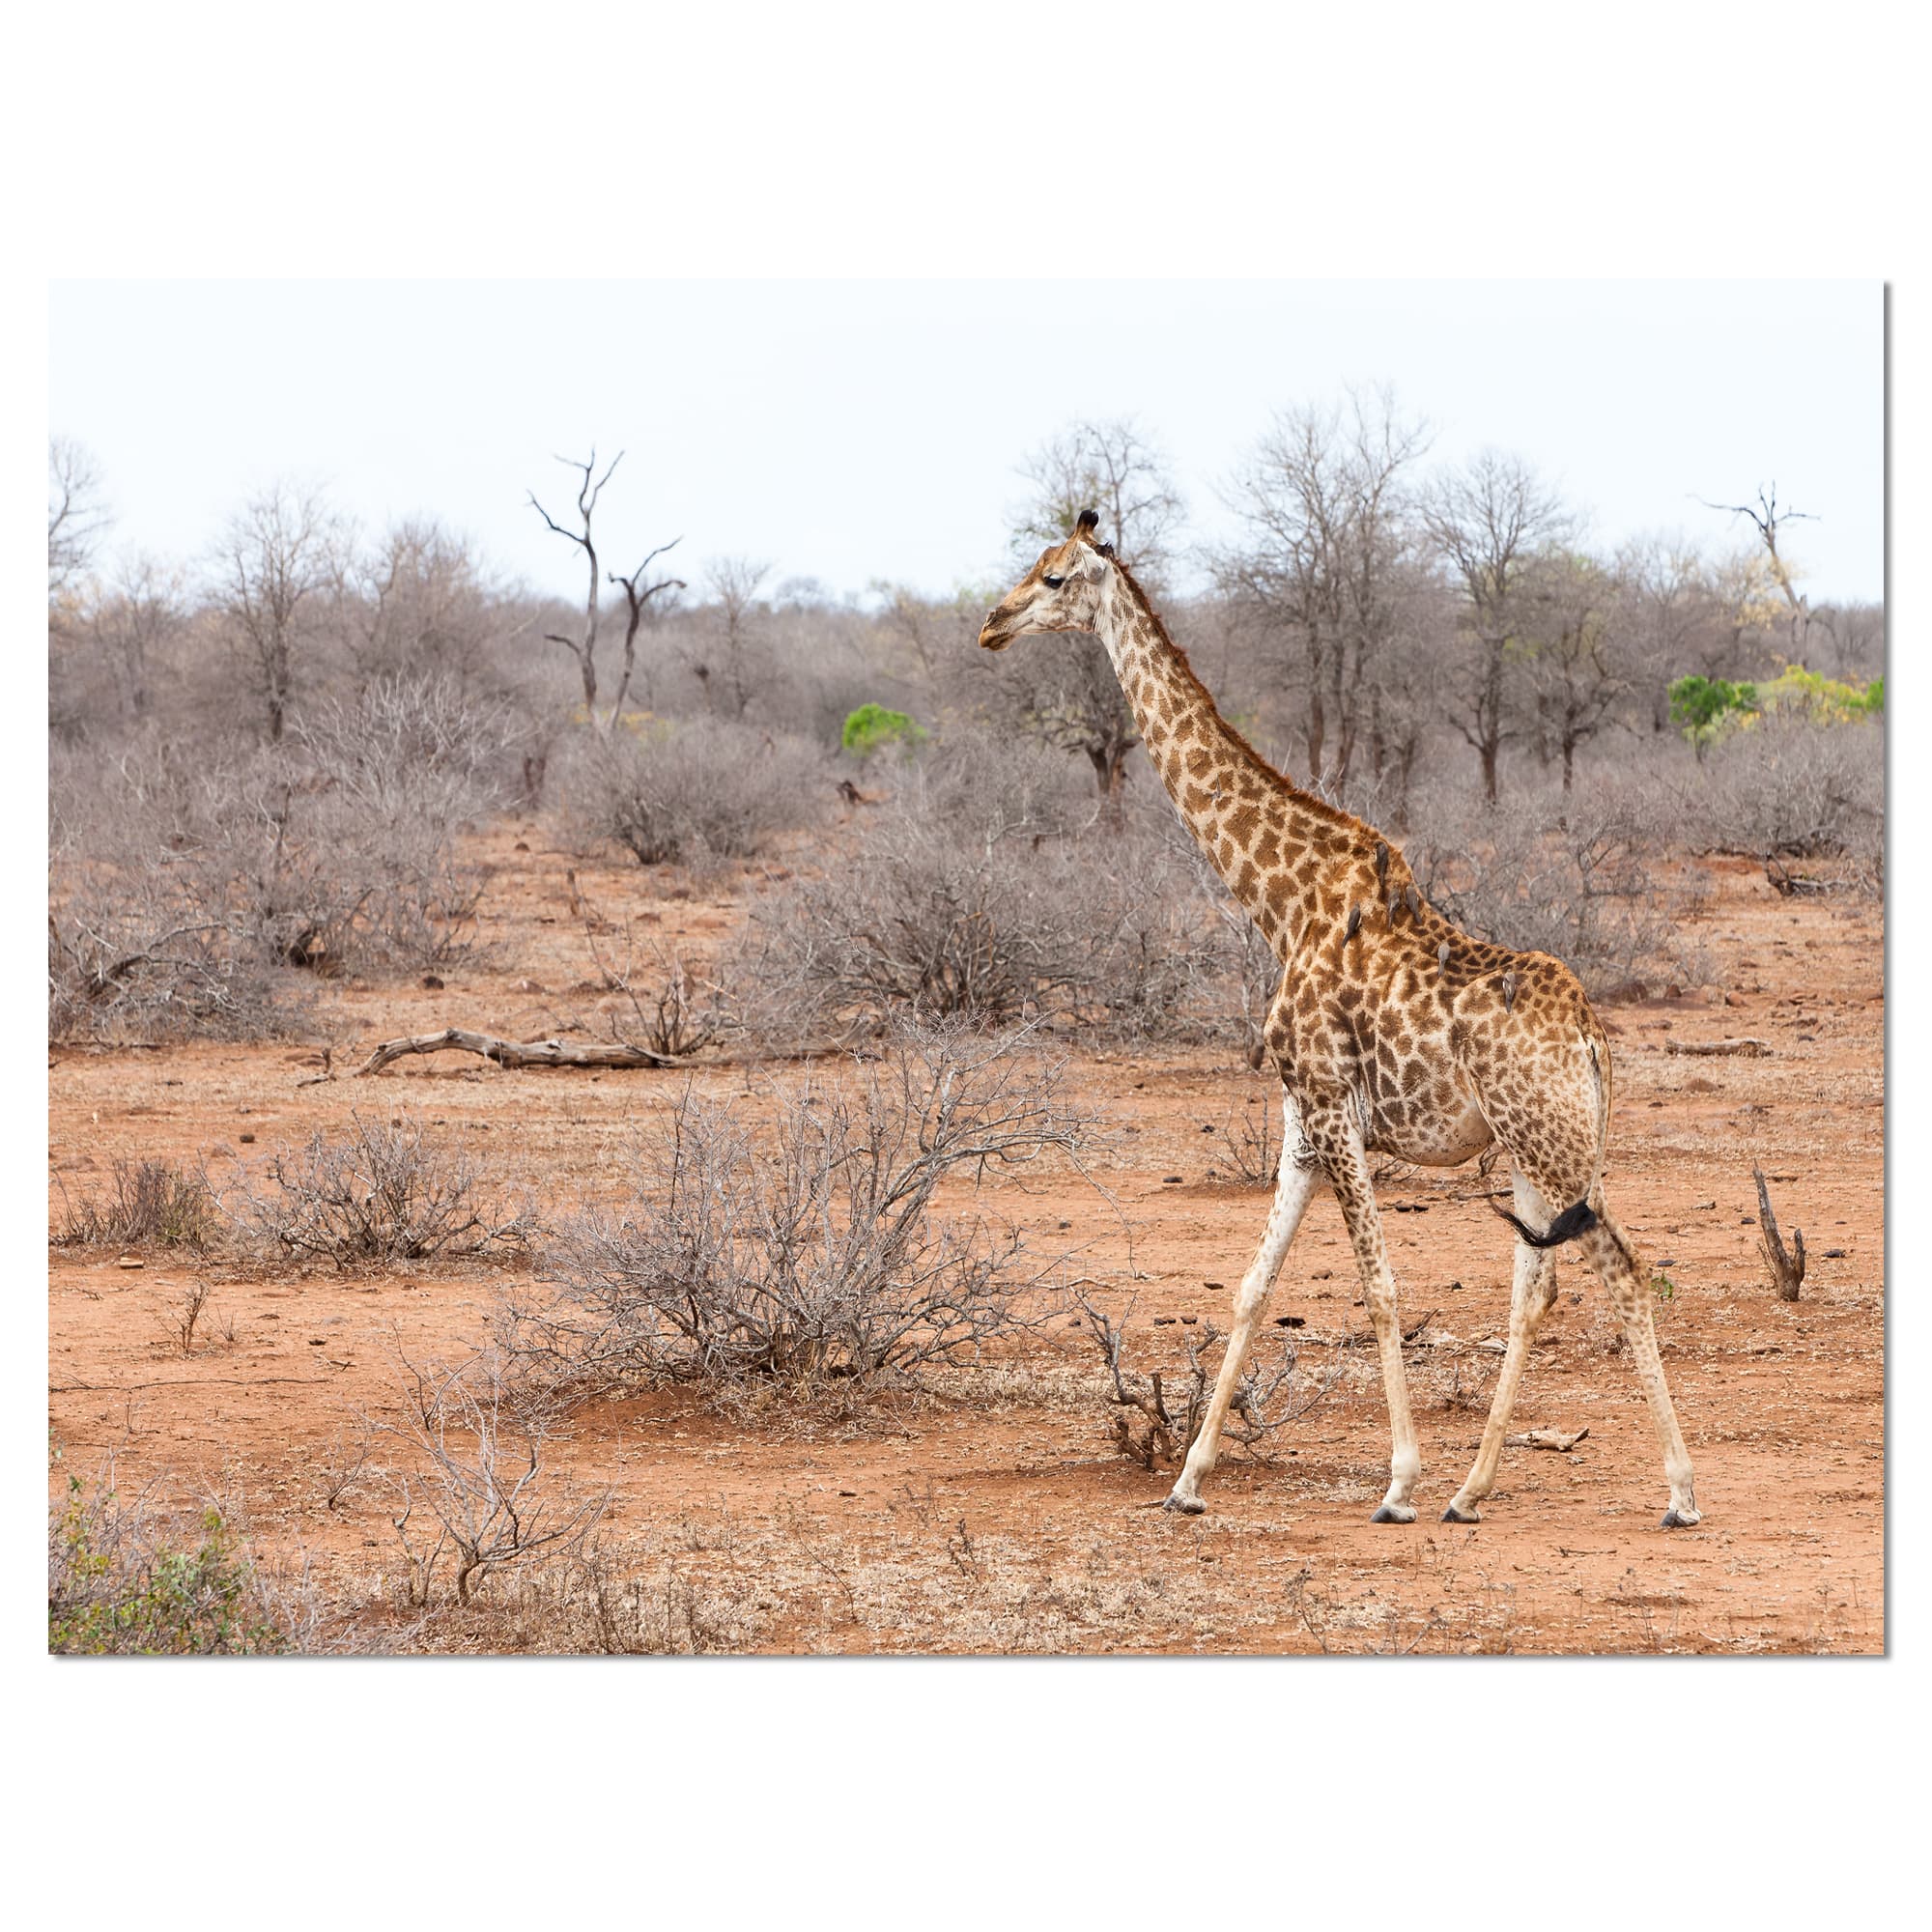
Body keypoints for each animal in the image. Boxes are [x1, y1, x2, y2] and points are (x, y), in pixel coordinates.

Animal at [979, 510, 1700, 1529]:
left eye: (1052, 577)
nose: (991, 624)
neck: (1279, 903)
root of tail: (1595, 1042)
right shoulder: (1300, 1121)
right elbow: (1251, 1287)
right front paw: (1187, 1482)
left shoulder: (1331, 1106)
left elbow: (1380, 1287)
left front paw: (1397, 1483)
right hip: (1535, 1148)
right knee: (1539, 1288)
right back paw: (1473, 1490)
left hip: (1554, 1148)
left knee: (1624, 1273)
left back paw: (1676, 1493)